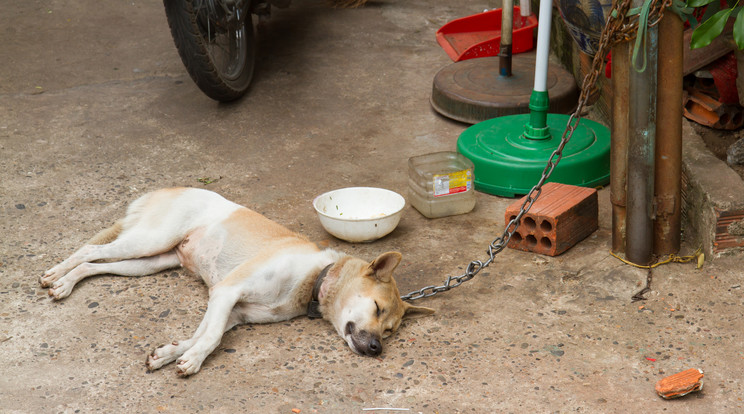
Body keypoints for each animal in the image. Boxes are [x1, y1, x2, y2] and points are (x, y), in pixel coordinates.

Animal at [40, 188, 434, 376]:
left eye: (389, 332)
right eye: (377, 308)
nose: (377, 350)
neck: (314, 279)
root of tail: (168, 188)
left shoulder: (230, 309)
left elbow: (201, 334)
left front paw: (173, 353)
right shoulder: (226, 292)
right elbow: (211, 336)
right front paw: (193, 360)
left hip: (149, 262)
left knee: (95, 265)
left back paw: (67, 282)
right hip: (148, 241)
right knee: (90, 249)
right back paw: (57, 275)